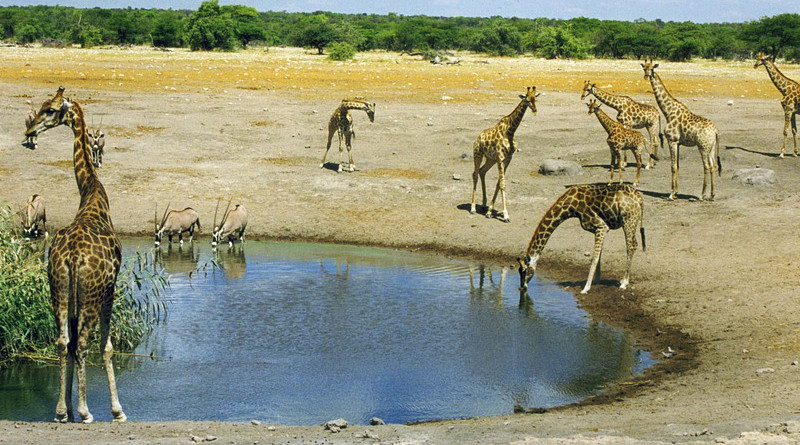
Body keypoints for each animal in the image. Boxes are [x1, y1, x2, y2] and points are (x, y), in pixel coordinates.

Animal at [23, 86, 125, 424]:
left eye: (51, 109)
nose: (29, 130)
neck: (93, 195)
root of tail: (71, 257)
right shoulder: (111, 288)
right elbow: (106, 346)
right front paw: (116, 410)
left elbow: (67, 344)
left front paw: (65, 406)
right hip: (90, 295)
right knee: (81, 344)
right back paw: (85, 411)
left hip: (58, 289)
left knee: (62, 342)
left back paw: (61, 412)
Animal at [468, 85, 536, 222]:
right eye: (527, 99)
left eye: (535, 98)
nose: (535, 109)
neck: (510, 131)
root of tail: (477, 137)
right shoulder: (500, 158)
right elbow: (502, 184)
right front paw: (506, 215)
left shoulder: (508, 159)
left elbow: (499, 183)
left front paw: (489, 211)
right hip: (478, 154)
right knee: (475, 174)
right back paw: (472, 208)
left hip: (490, 159)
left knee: (482, 171)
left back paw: (483, 205)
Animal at [516, 182, 648, 296]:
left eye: (524, 270)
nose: (522, 287)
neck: (571, 207)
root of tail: (640, 199)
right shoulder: (599, 229)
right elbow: (598, 255)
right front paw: (596, 280)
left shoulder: (601, 226)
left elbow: (594, 258)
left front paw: (585, 288)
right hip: (630, 221)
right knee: (633, 244)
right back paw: (623, 280)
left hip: (628, 220)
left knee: (631, 245)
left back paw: (624, 283)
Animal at [640, 59, 720, 200]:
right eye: (644, 67)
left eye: (652, 68)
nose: (646, 75)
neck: (668, 111)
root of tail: (715, 131)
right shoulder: (678, 143)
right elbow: (677, 166)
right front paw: (676, 192)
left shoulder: (672, 140)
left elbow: (672, 166)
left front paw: (671, 194)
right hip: (711, 147)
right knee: (713, 166)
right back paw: (712, 195)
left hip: (702, 147)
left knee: (706, 166)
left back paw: (702, 195)